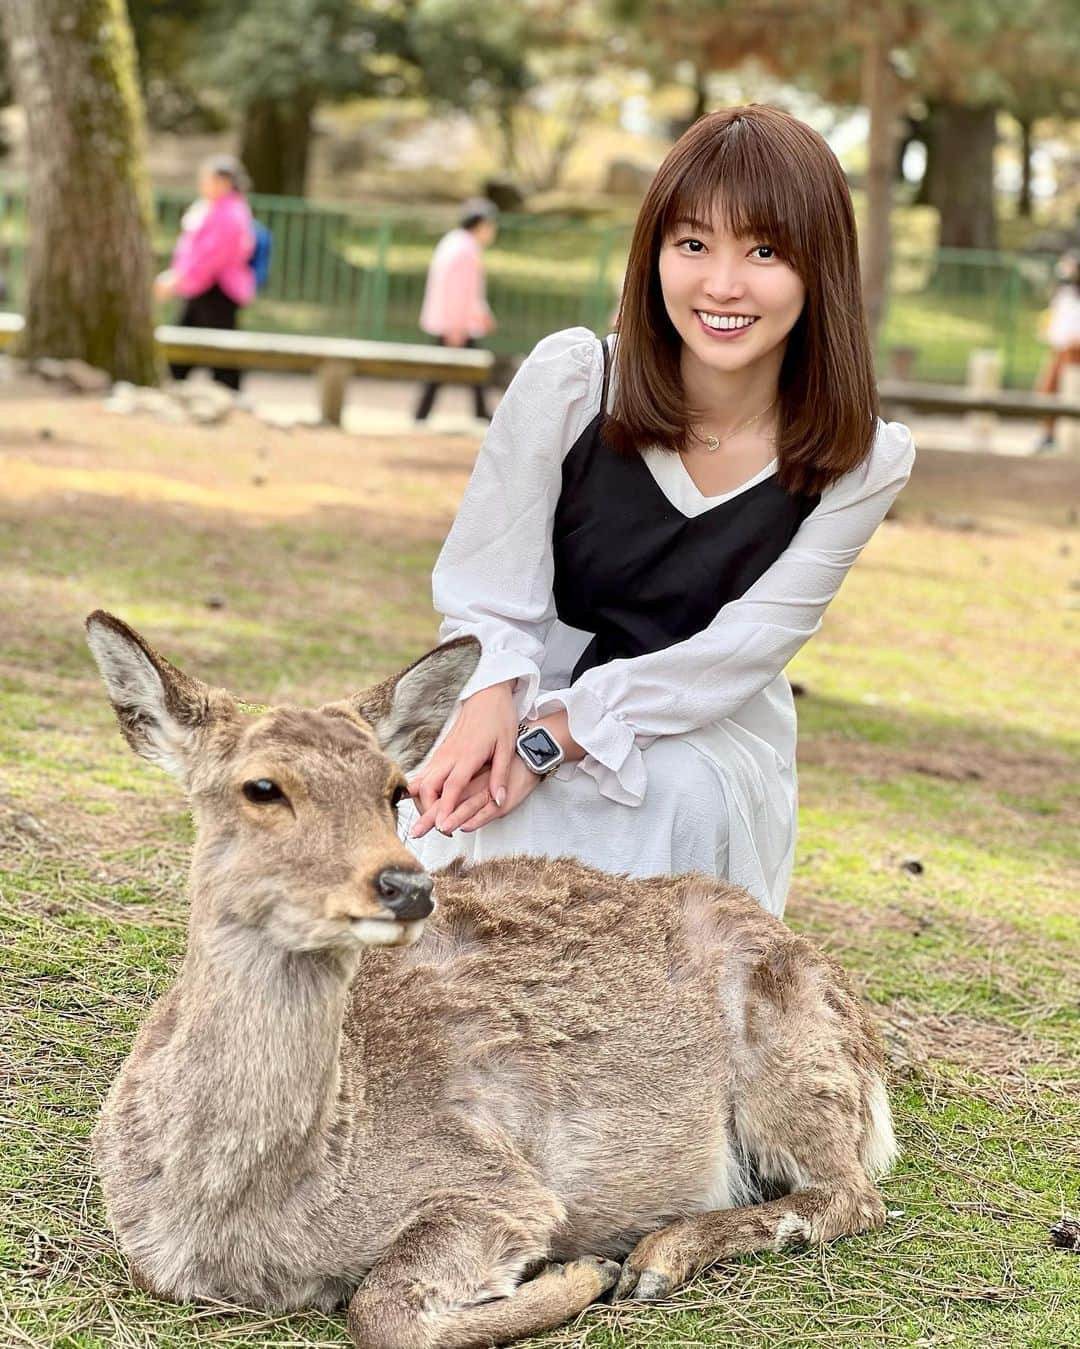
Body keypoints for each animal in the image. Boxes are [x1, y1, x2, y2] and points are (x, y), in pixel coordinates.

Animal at [84, 615, 895, 1349]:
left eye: (396, 790)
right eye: (262, 786)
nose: (406, 885)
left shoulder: (498, 1183)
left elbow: (380, 1308)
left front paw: (583, 1270)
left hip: (794, 1056)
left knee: (853, 1193)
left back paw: (656, 1259)